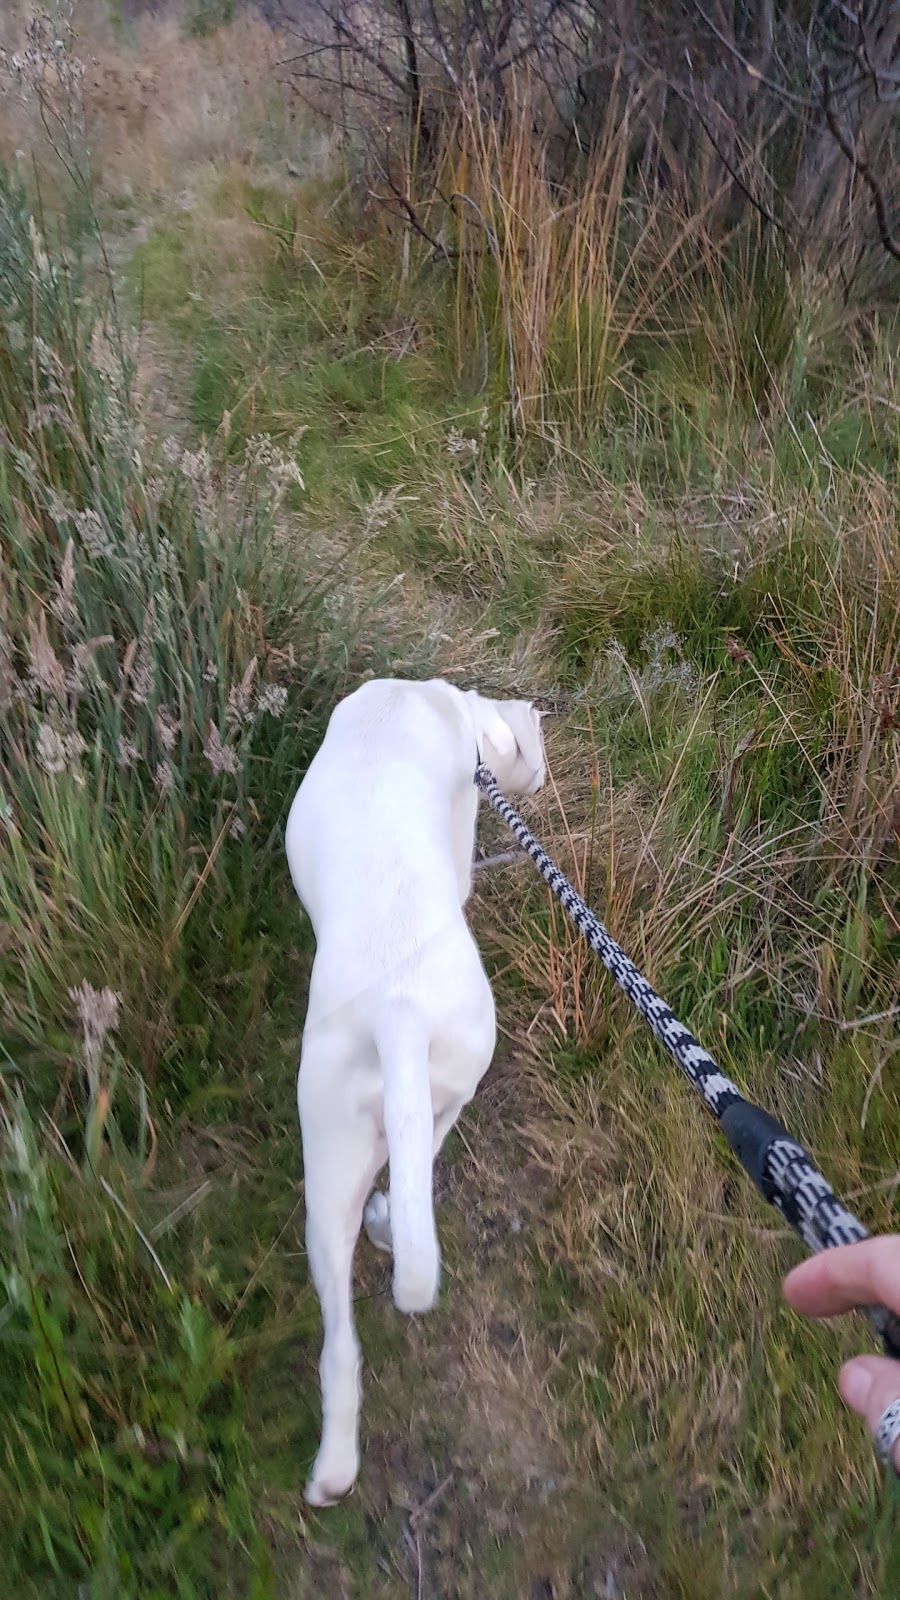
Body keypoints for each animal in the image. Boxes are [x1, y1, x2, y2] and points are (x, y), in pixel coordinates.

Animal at [283, 681, 544, 1504]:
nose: (541, 771)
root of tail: (397, 1011)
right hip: (445, 1088)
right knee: (415, 1177)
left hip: (332, 1154)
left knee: (339, 1341)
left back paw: (334, 1469)